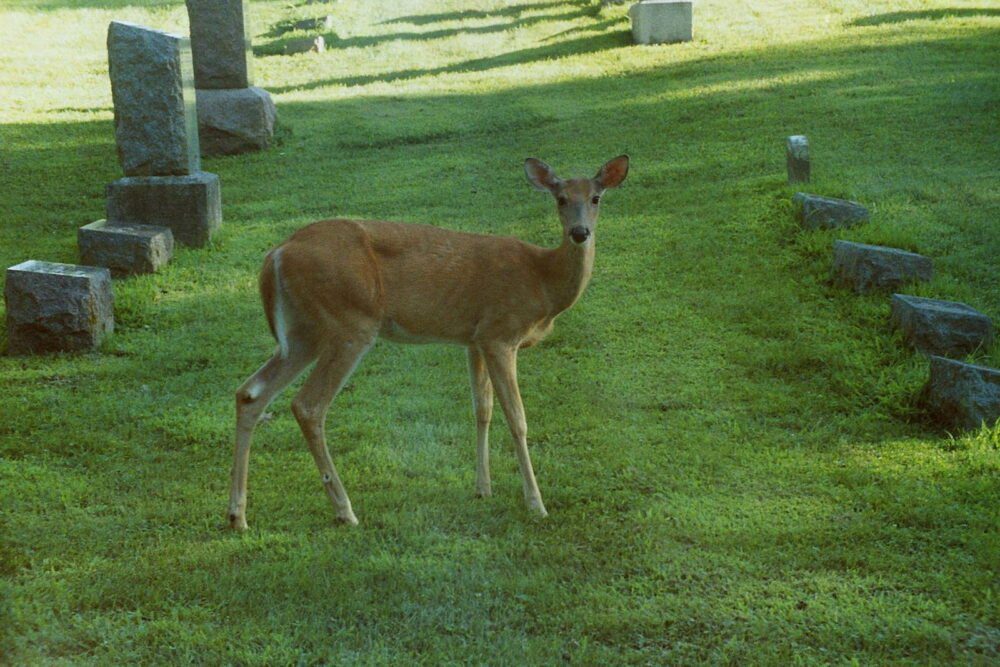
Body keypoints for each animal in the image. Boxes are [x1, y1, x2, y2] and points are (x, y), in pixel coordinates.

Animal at [230, 154, 628, 528]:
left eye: (596, 197)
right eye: (560, 199)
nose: (580, 232)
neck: (542, 280)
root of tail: (276, 254)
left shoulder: (475, 338)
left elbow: (482, 409)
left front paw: (483, 488)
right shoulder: (500, 333)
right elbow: (517, 418)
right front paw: (535, 504)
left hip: (304, 332)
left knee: (250, 392)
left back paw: (237, 515)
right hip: (350, 322)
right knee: (308, 405)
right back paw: (345, 511)